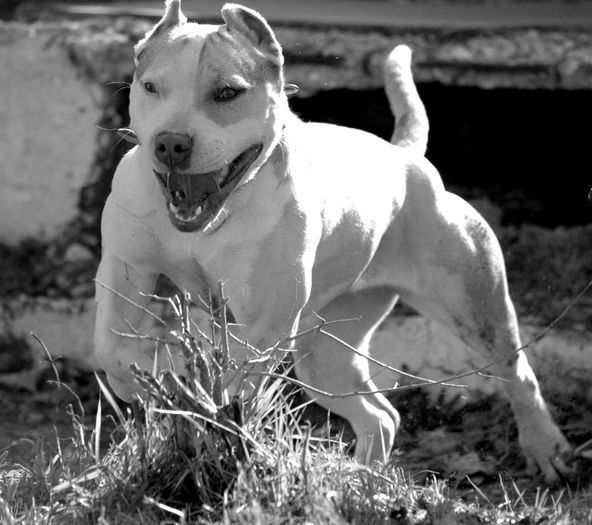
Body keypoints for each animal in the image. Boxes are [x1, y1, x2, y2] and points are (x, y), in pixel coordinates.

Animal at [93, 1, 572, 484]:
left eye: (227, 93)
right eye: (151, 87)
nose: (171, 143)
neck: (216, 216)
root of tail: (406, 158)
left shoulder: (266, 319)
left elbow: (237, 381)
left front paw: (210, 413)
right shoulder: (126, 269)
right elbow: (111, 348)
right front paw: (150, 388)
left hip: (472, 305)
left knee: (517, 373)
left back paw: (546, 449)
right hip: (324, 355)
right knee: (381, 416)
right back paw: (363, 480)